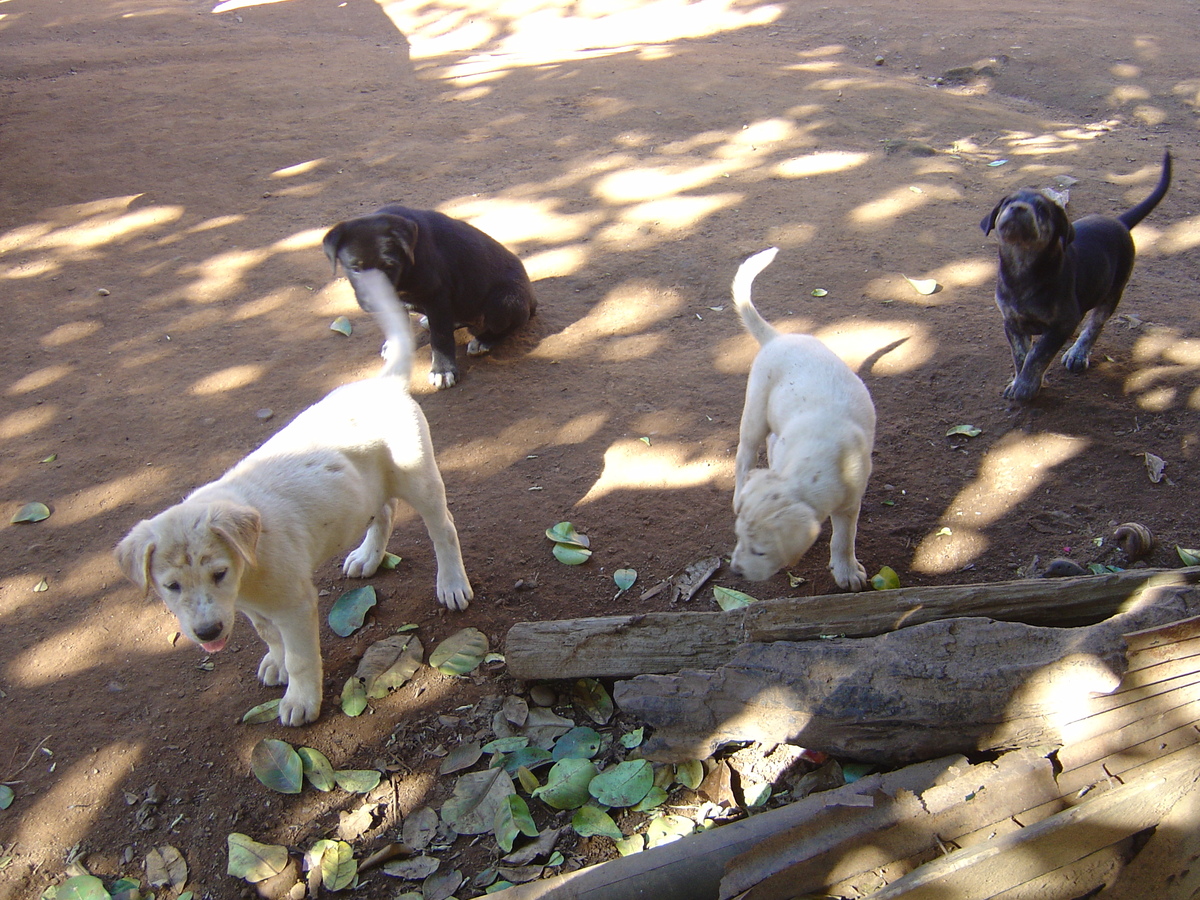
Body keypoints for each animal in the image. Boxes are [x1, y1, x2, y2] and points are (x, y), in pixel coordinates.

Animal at [326, 206, 537, 388]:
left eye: (389, 266)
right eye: (355, 268)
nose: (374, 304)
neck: (407, 266)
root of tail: (532, 300)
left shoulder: (437, 297)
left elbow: (440, 338)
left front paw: (442, 370)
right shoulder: (398, 302)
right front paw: (397, 347)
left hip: (503, 301)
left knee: (509, 325)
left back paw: (483, 341)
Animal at [979, 152, 1166, 400]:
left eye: (1042, 209)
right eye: (1008, 202)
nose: (1018, 208)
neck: (1022, 267)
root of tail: (1119, 222)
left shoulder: (1063, 322)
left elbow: (1038, 353)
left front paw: (1026, 386)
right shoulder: (1011, 321)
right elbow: (1020, 354)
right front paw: (1019, 380)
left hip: (1114, 290)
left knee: (1095, 324)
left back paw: (1078, 354)